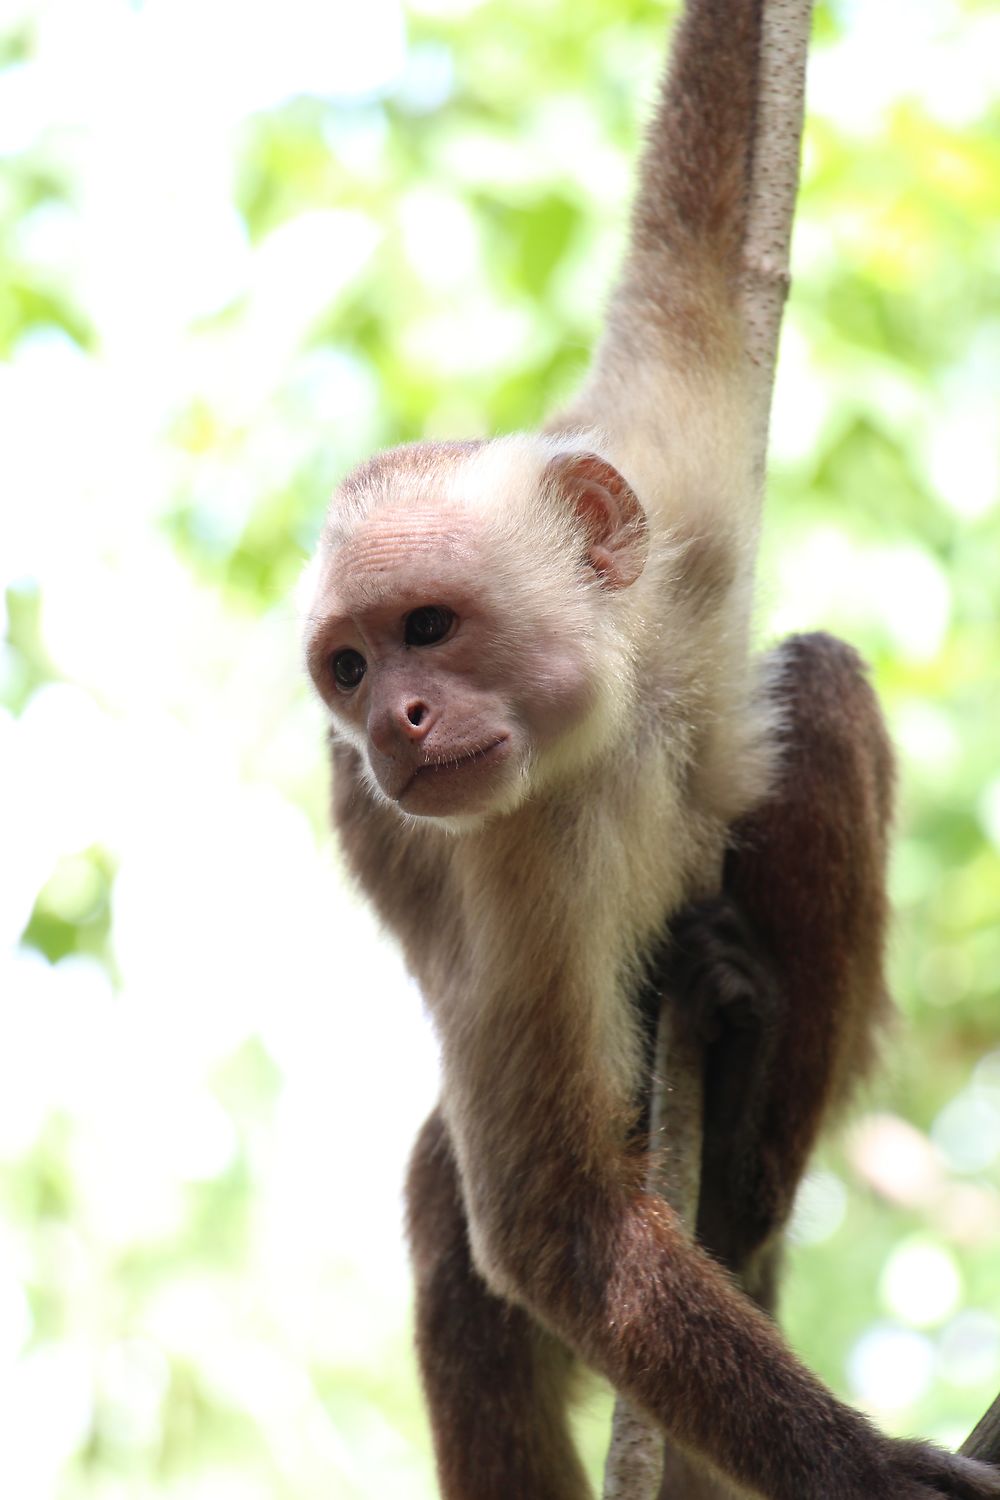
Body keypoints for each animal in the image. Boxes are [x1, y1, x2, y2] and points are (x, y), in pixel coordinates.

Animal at [301, 2, 995, 1500]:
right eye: (350, 666)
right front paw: (859, 1468)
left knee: (819, 687)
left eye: (426, 628)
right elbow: (554, 1230)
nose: (391, 725)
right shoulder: (507, 868)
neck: (613, 720)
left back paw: (737, 1166)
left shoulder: (671, 480)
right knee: (453, 1234)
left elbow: (705, 236)